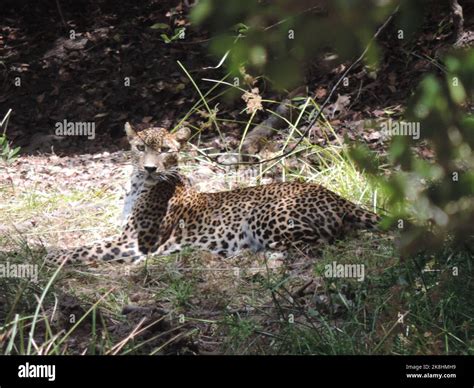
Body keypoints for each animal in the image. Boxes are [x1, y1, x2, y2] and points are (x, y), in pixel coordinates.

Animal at [45, 123, 382, 266]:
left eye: (165, 150)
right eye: (140, 148)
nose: (150, 168)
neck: (139, 184)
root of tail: (333, 194)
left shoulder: (133, 242)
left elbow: (84, 249)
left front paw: (49, 255)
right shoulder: (123, 235)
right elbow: (90, 241)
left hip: (264, 214)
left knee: (321, 241)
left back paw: (260, 253)